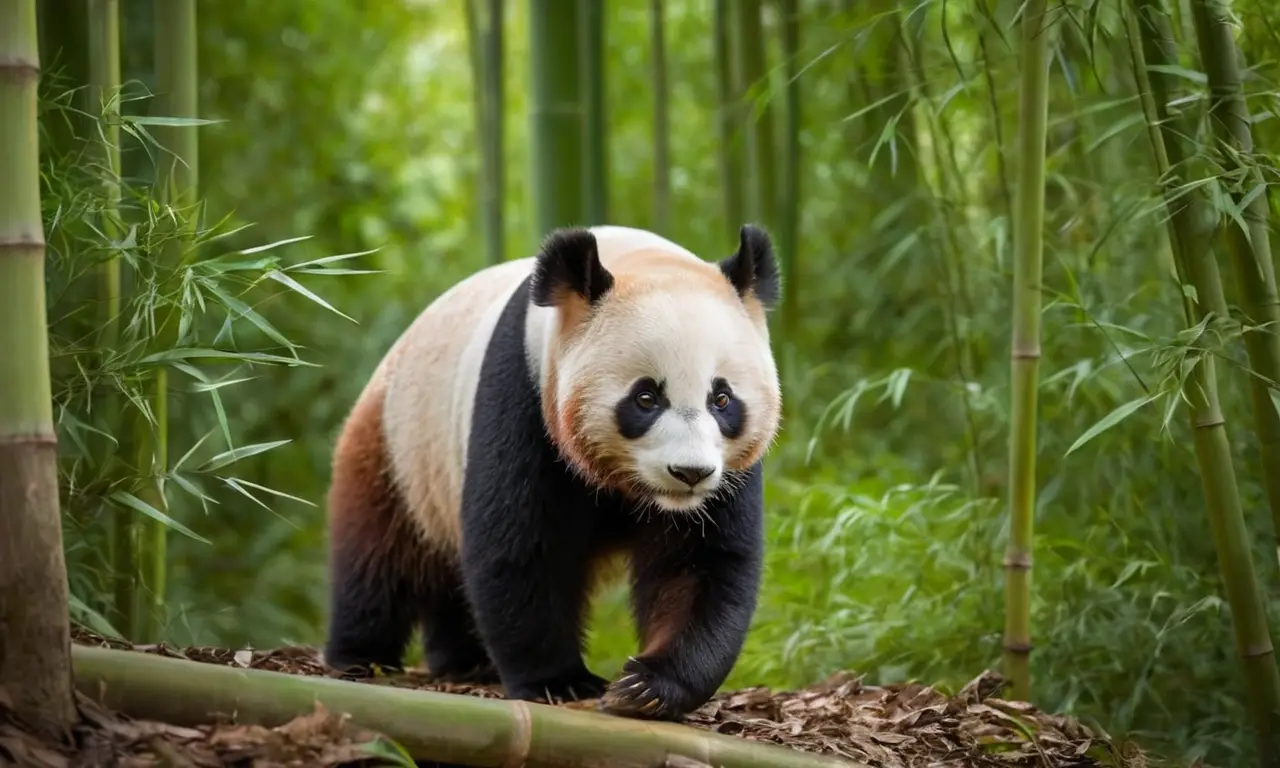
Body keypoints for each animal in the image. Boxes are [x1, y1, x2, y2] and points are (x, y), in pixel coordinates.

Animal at [322, 223, 782, 721]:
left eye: (722, 399)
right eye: (645, 397)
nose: (690, 472)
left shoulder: (729, 476)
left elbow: (701, 563)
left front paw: (646, 686)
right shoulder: (524, 390)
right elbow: (520, 544)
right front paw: (558, 682)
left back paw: (465, 661)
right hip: (399, 448)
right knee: (377, 557)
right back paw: (360, 657)